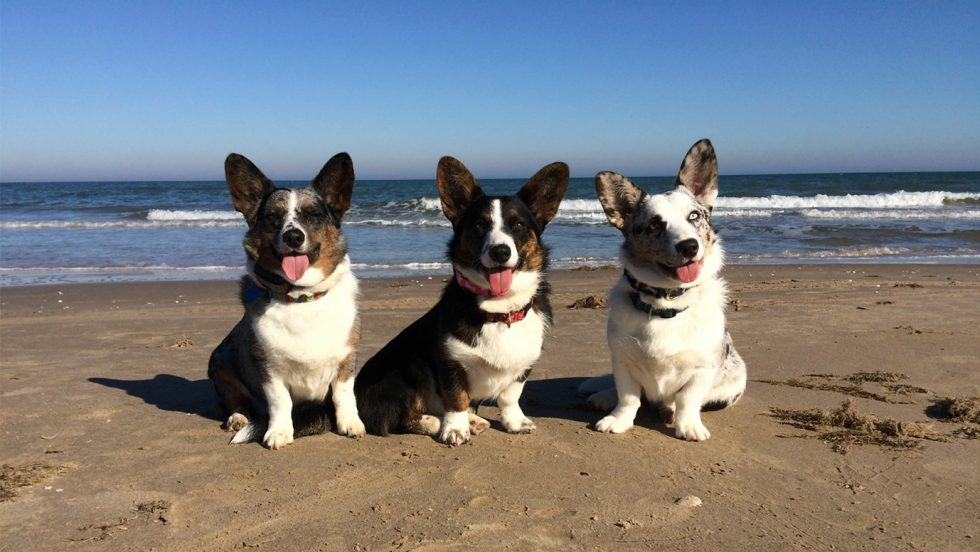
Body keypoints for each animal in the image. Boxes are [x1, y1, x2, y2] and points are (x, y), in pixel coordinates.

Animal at [207, 151, 364, 448]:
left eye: (314, 215)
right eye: (272, 217)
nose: (293, 236)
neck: (302, 297)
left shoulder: (345, 361)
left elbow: (344, 394)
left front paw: (350, 423)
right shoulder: (269, 370)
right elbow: (280, 402)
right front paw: (278, 432)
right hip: (221, 365)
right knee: (238, 401)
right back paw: (238, 418)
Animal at [354, 155, 568, 444]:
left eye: (518, 225)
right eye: (479, 225)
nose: (500, 252)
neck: (499, 310)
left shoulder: (524, 364)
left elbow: (510, 396)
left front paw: (515, 422)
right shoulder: (449, 362)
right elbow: (456, 397)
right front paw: (455, 428)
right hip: (408, 367)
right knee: (399, 419)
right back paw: (441, 422)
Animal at [580, 140, 748, 442]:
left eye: (694, 216)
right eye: (654, 225)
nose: (689, 246)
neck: (665, 304)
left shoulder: (701, 370)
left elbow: (687, 400)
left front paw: (688, 426)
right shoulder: (623, 362)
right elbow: (628, 397)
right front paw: (618, 420)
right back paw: (603, 396)